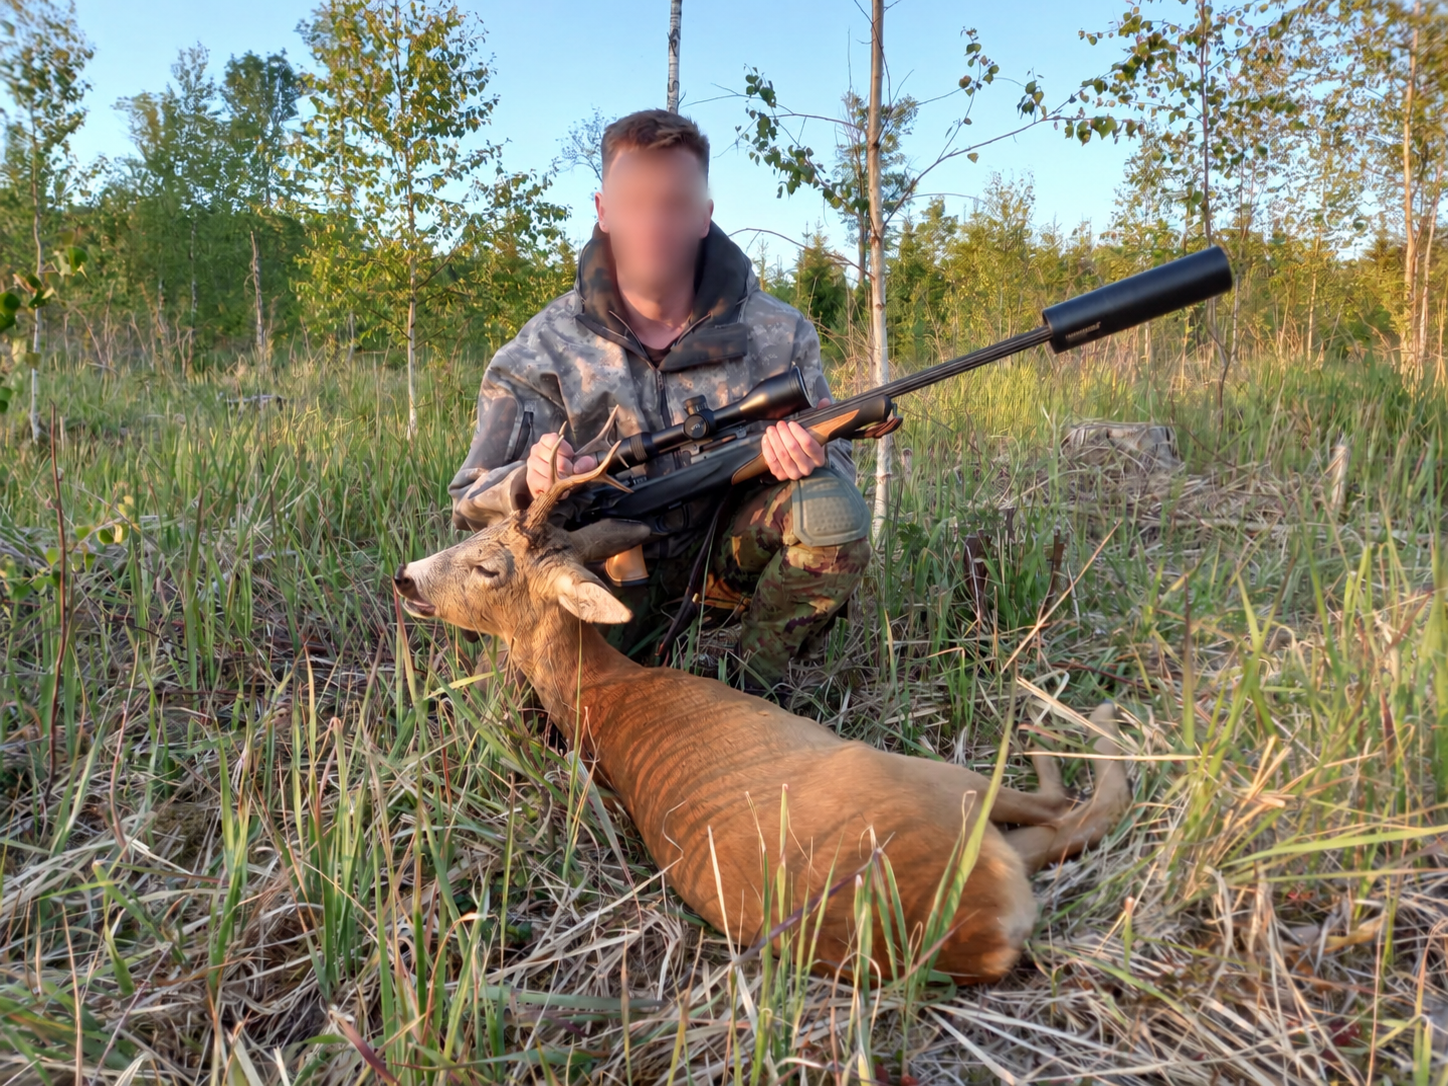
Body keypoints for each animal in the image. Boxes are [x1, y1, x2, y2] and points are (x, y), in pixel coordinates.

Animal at [393, 457, 1133, 984]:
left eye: (487, 562)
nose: (404, 577)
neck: (605, 689)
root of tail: (982, 930)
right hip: (934, 781)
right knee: (1071, 806)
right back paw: (1081, 720)